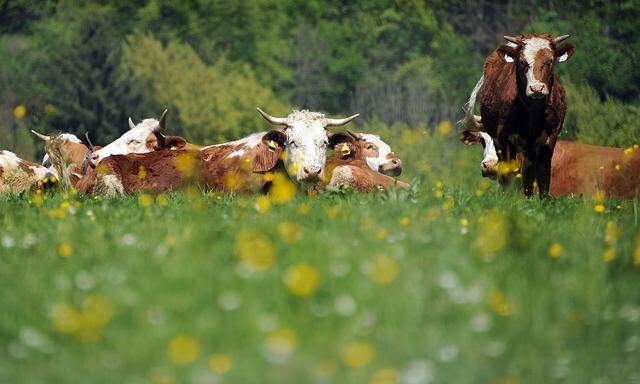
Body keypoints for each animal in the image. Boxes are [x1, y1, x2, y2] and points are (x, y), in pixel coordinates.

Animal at [460, 33, 576, 198]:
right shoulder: (505, 139)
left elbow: (542, 176)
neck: (533, 113)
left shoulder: (549, 139)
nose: (536, 88)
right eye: (522, 61)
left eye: (550, 61)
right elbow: (509, 175)